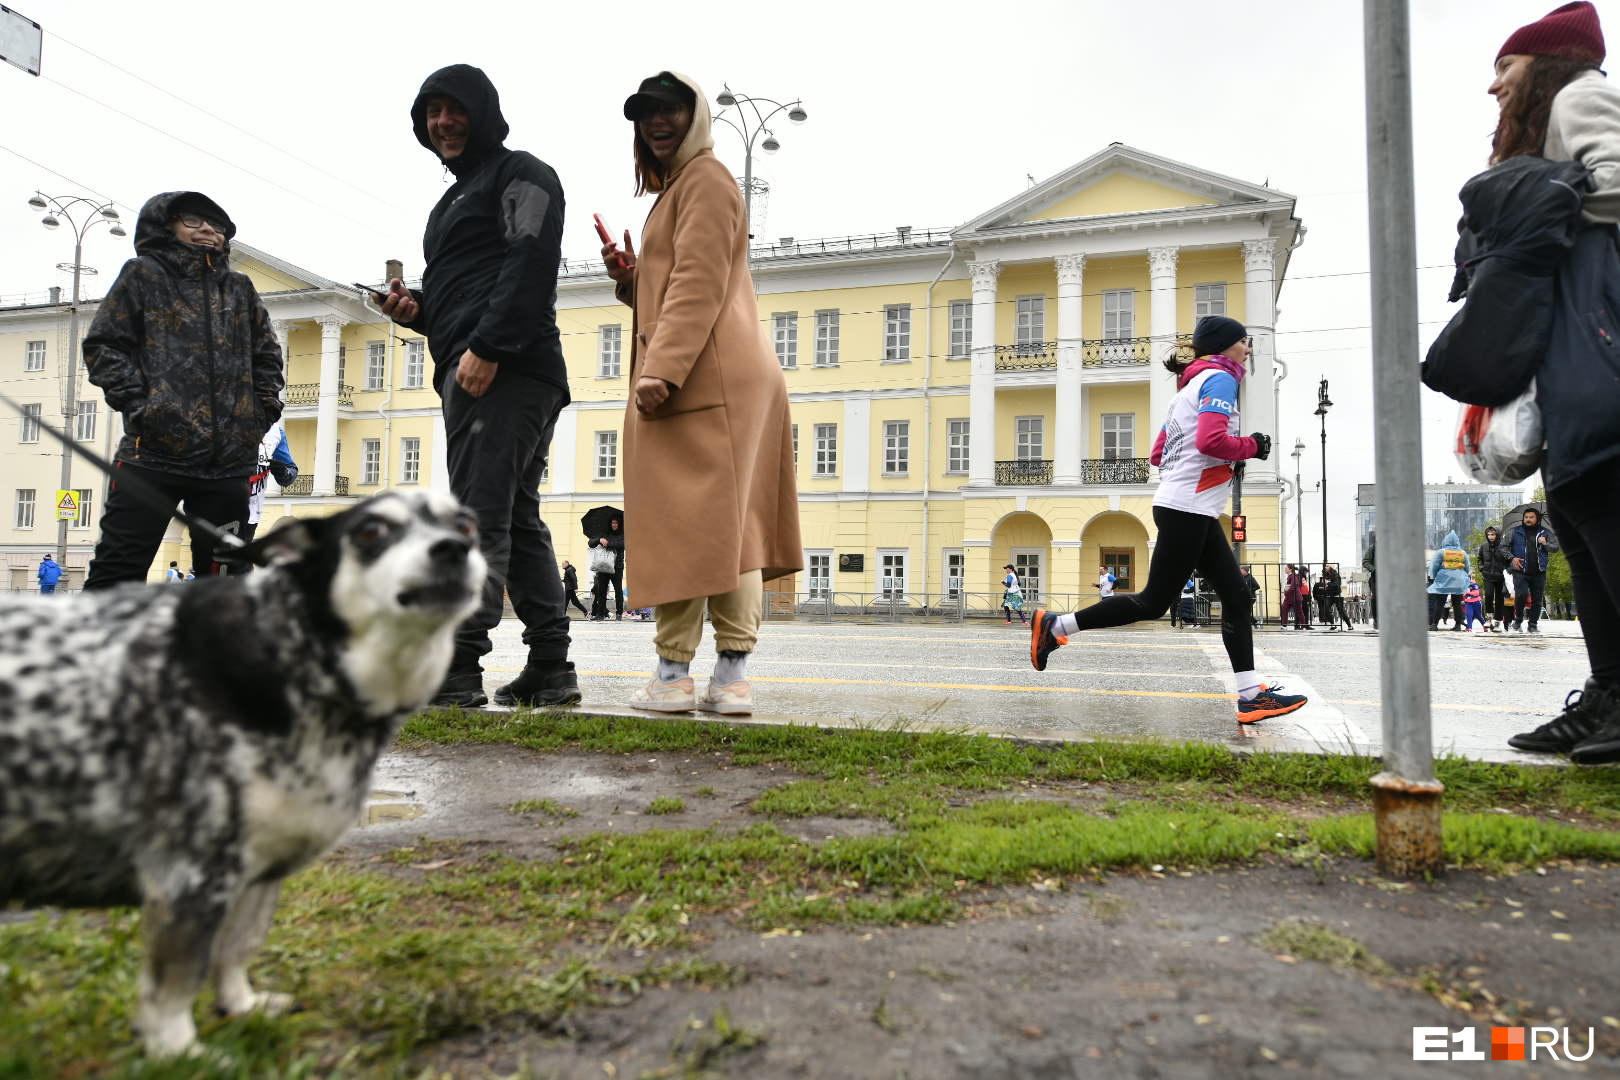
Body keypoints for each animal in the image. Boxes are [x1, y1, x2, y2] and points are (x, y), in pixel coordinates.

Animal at [0, 495, 482, 1062]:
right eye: (369, 531)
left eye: (466, 524)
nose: (454, 548)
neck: (286, 656)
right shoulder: (189, 876)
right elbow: (175, 982)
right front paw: (179, 1051)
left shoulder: (259, 873)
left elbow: (236, 948)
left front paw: (241, 1005)